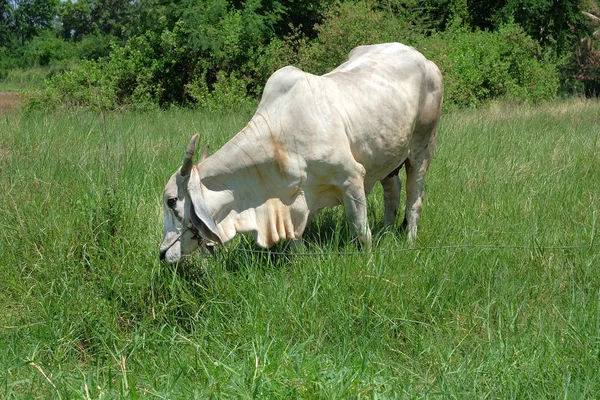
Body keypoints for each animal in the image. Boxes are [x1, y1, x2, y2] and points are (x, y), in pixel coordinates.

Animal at [158, 43, 440, 262]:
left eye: (171, 201)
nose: (162, 254)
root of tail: (423, 59)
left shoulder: (352, 179)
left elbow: (361, 233)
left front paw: (369, 263)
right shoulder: (293, 205)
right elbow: (295, 239)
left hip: (422, 147)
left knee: (414, 198)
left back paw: (409, 242)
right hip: (387, 157)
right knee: (393, 191)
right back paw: (388, 231)